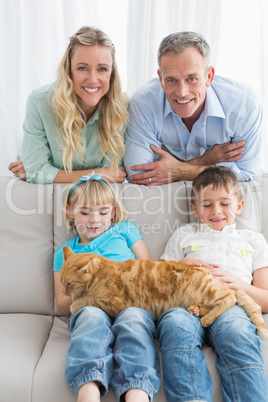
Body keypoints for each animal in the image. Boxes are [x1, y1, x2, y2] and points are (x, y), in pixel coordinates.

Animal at [60, 247, 268, 340]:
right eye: (62, 282)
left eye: (69, 283)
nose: (63, 292)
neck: (101, 271)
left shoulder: (112, 303)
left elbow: (83, 301)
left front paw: (74, 302)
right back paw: (196, 310)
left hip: (206, 289)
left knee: (229, 297)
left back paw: (206, 318)